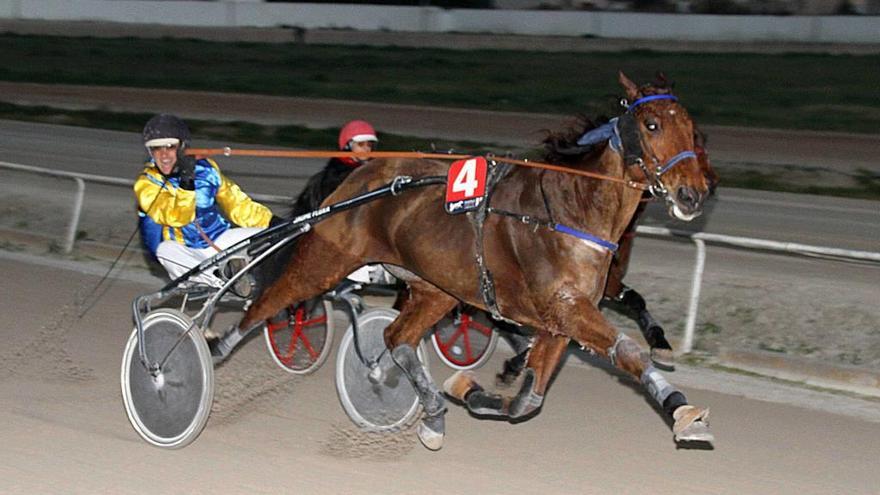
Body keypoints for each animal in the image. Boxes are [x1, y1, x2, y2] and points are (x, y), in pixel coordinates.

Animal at [230, 72, 712, 450]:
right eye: (651, 124)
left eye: (693, 130)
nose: (694, 193)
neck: (571, 210)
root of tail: (360, 178)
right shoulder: (567, 308)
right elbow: (626, 350)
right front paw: (683, 412)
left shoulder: (561, 320)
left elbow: (527, 400)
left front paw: (469, 389)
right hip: (326, 258)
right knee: (269, 301)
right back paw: (219, 346)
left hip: (436, 288)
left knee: (396, 336)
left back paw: (431, 412)